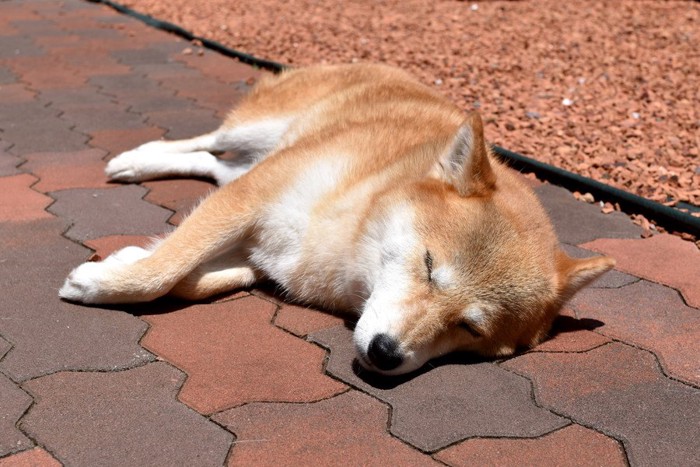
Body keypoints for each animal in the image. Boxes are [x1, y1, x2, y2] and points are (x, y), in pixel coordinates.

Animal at [60, 63, 612, 376]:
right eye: (429, 266)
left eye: (470, 328)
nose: (386, 353)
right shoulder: (254, 197)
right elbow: (168, 268)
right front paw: (105, 283)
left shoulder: (263, 253)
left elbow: (195, 279)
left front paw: (124, 264)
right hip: (258, 130)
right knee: (208, 142)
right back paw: (136, 159)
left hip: (253, 159)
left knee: (215, 164)